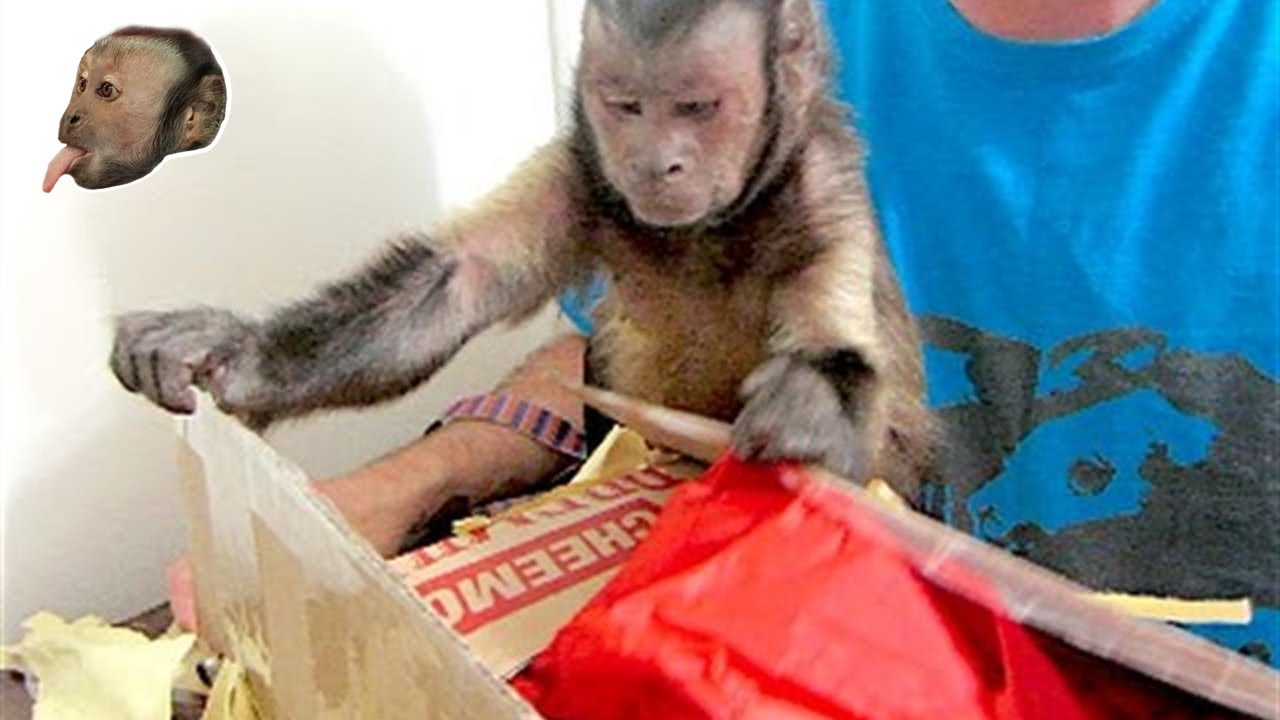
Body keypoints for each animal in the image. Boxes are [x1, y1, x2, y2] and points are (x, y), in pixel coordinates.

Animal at [109, 0, 934, 501]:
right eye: (625, 106)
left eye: (697, 107)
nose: (656, 163)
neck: (712, 226)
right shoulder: (586, 170)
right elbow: (450, 285)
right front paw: (236, 352)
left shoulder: (823, 189)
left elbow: (845, 377)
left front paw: (815, 408)